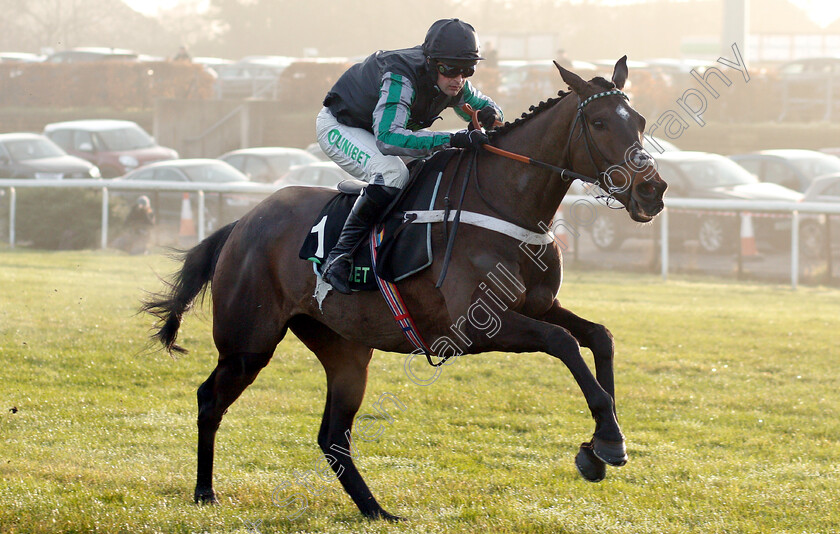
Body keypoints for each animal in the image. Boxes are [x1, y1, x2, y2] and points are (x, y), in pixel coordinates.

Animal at [146, 57, 668, 520]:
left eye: (640, 120)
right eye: (599, 122)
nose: (653, 191)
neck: (503, 203)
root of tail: (241, 223)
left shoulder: (541, 305)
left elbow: (599, 336)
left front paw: (602, 441)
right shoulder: (479, 326)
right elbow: (563, 343)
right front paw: (607, 442)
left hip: (345, 350)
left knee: (332, 436)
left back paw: (375, 510)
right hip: (248, 343)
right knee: (210, 399)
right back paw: (205, 492)